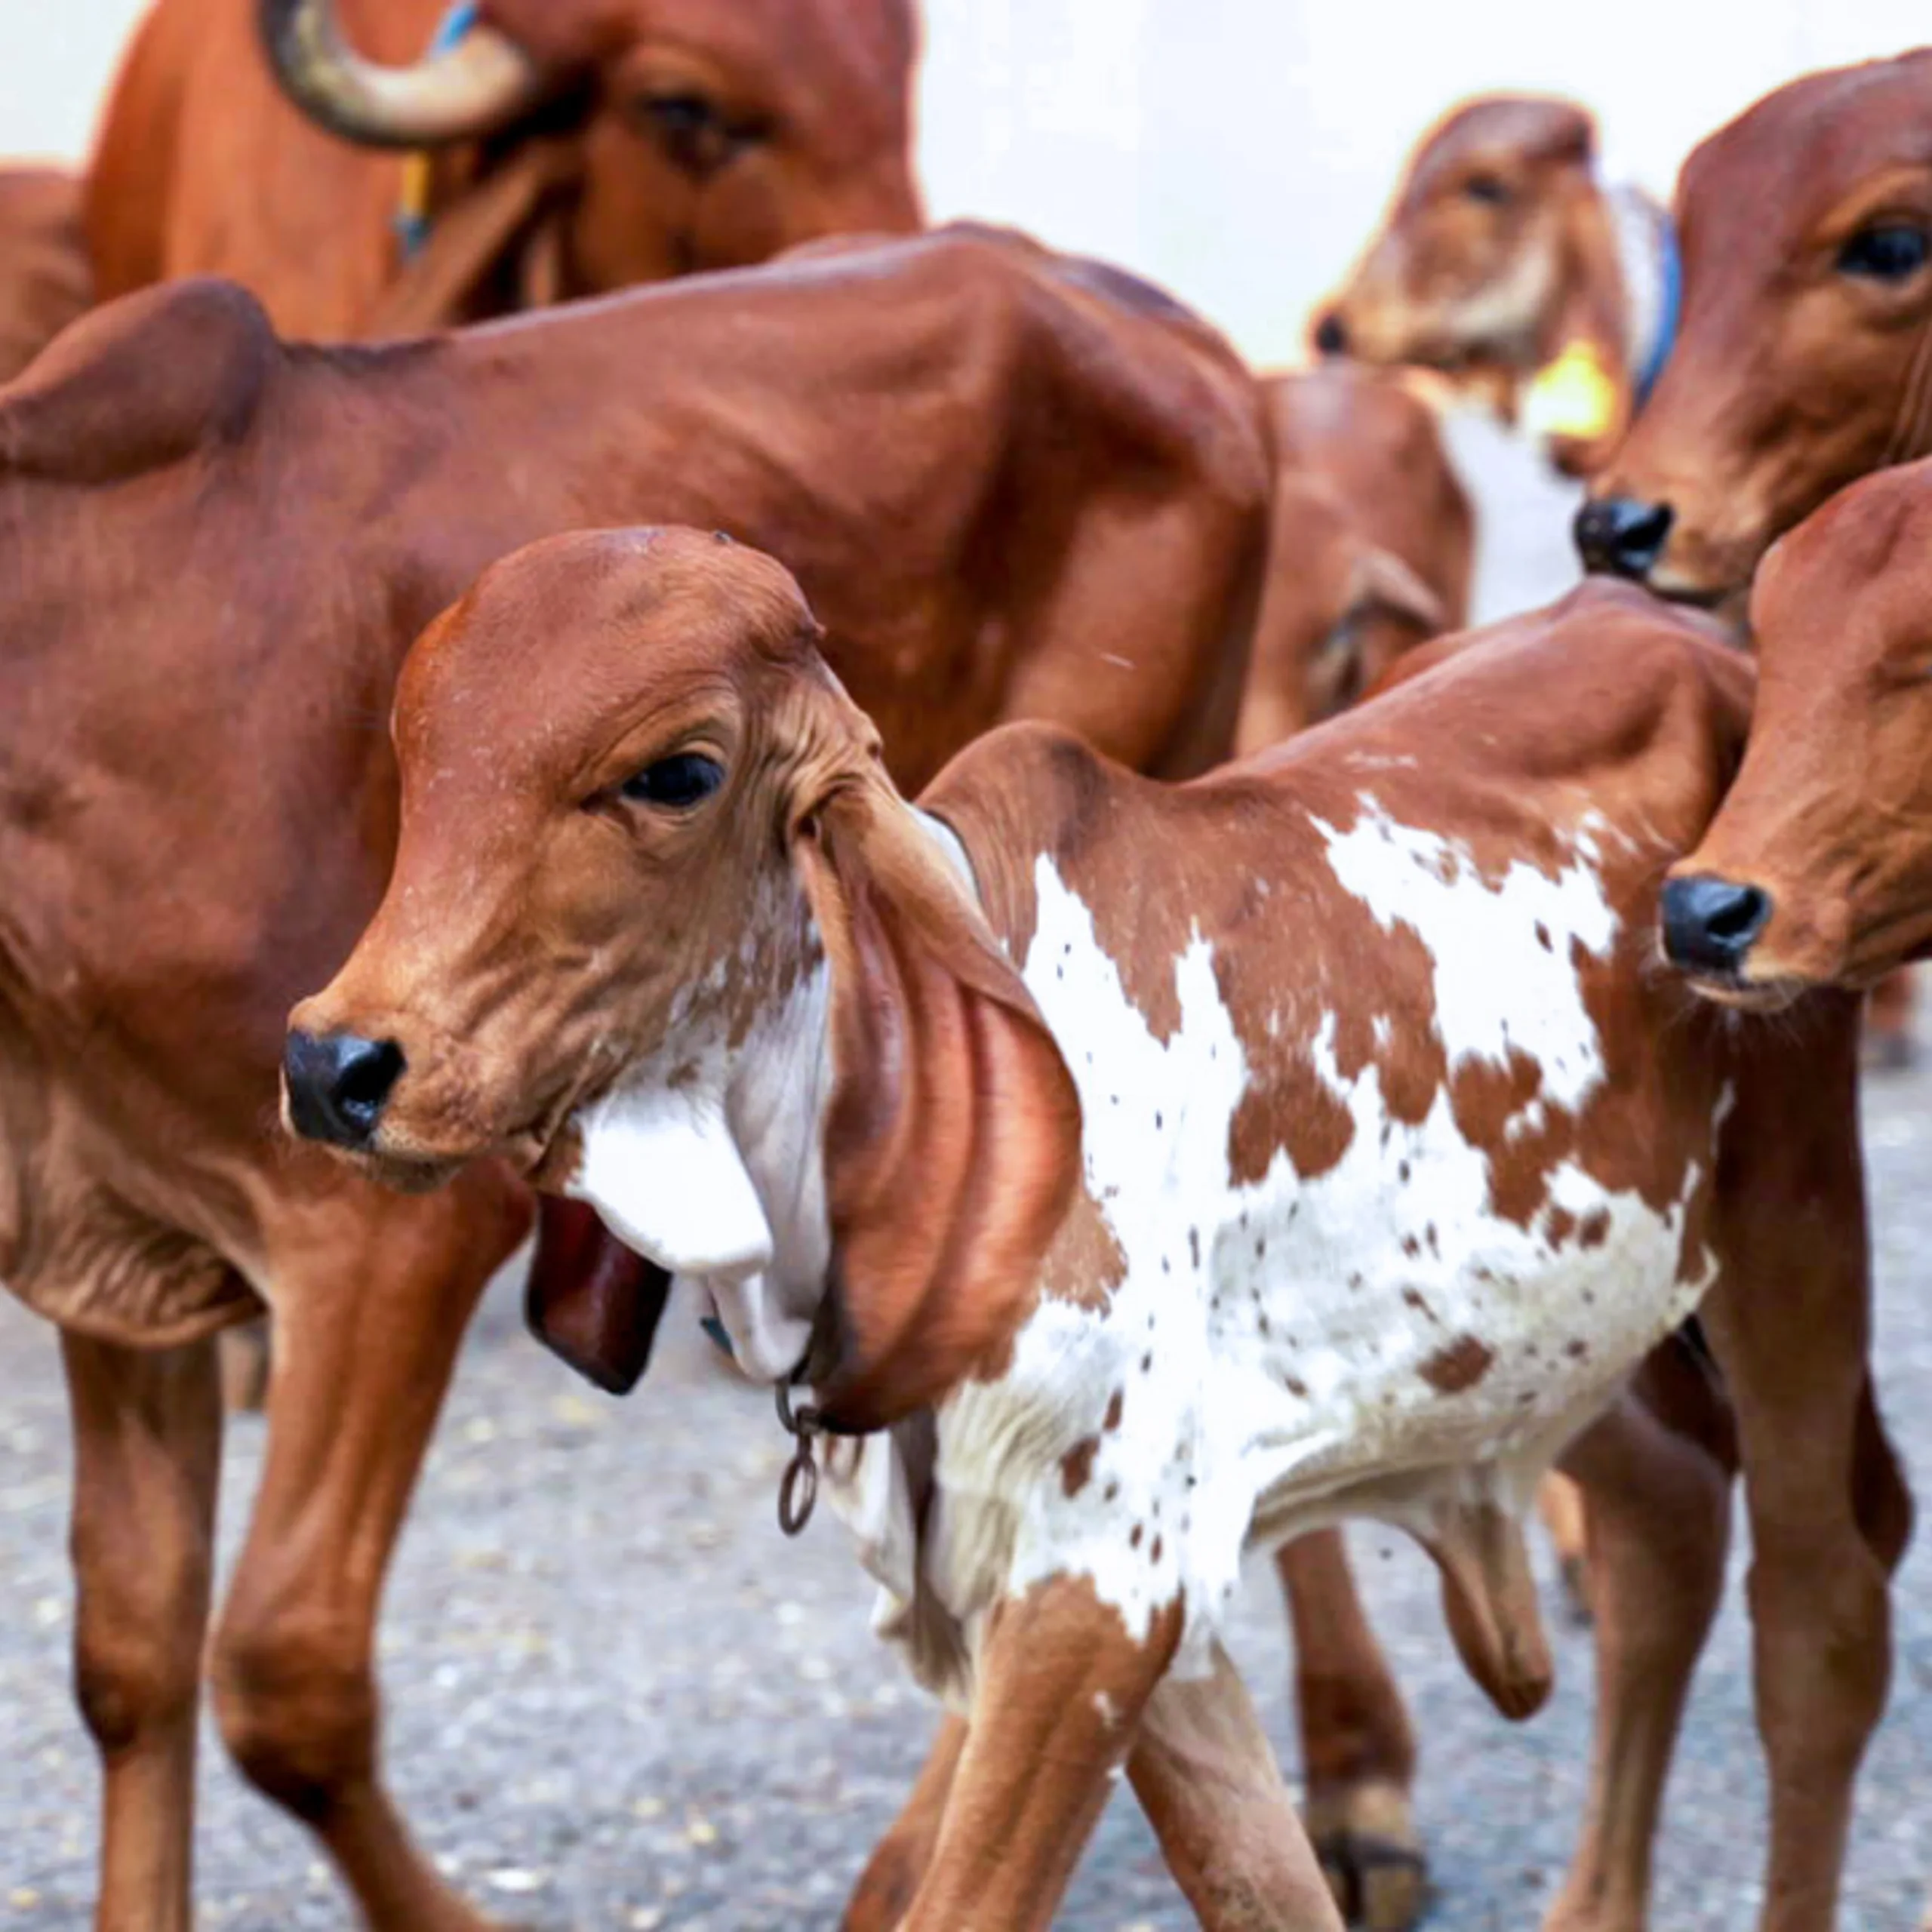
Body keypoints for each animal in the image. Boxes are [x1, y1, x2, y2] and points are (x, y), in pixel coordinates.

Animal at [0, 226, 1268, 1931]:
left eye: (673, 772)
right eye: (410, 754)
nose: (330, 1066)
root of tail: (1159, 322)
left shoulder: (386, 1230)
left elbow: (284, 1674)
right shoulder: (123, 1244)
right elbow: (130, 1654)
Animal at [284, 528, 1900, 1932]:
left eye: (675, 773)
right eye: (415, 760)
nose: (337, 1063)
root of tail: (1678, 631)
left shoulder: (1099, 1588)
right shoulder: (1143, 1618)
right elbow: (1266, 1893)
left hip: (1792, 1216)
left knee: (1819, 1614)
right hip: (1535, 1335)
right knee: (1666, 1512)